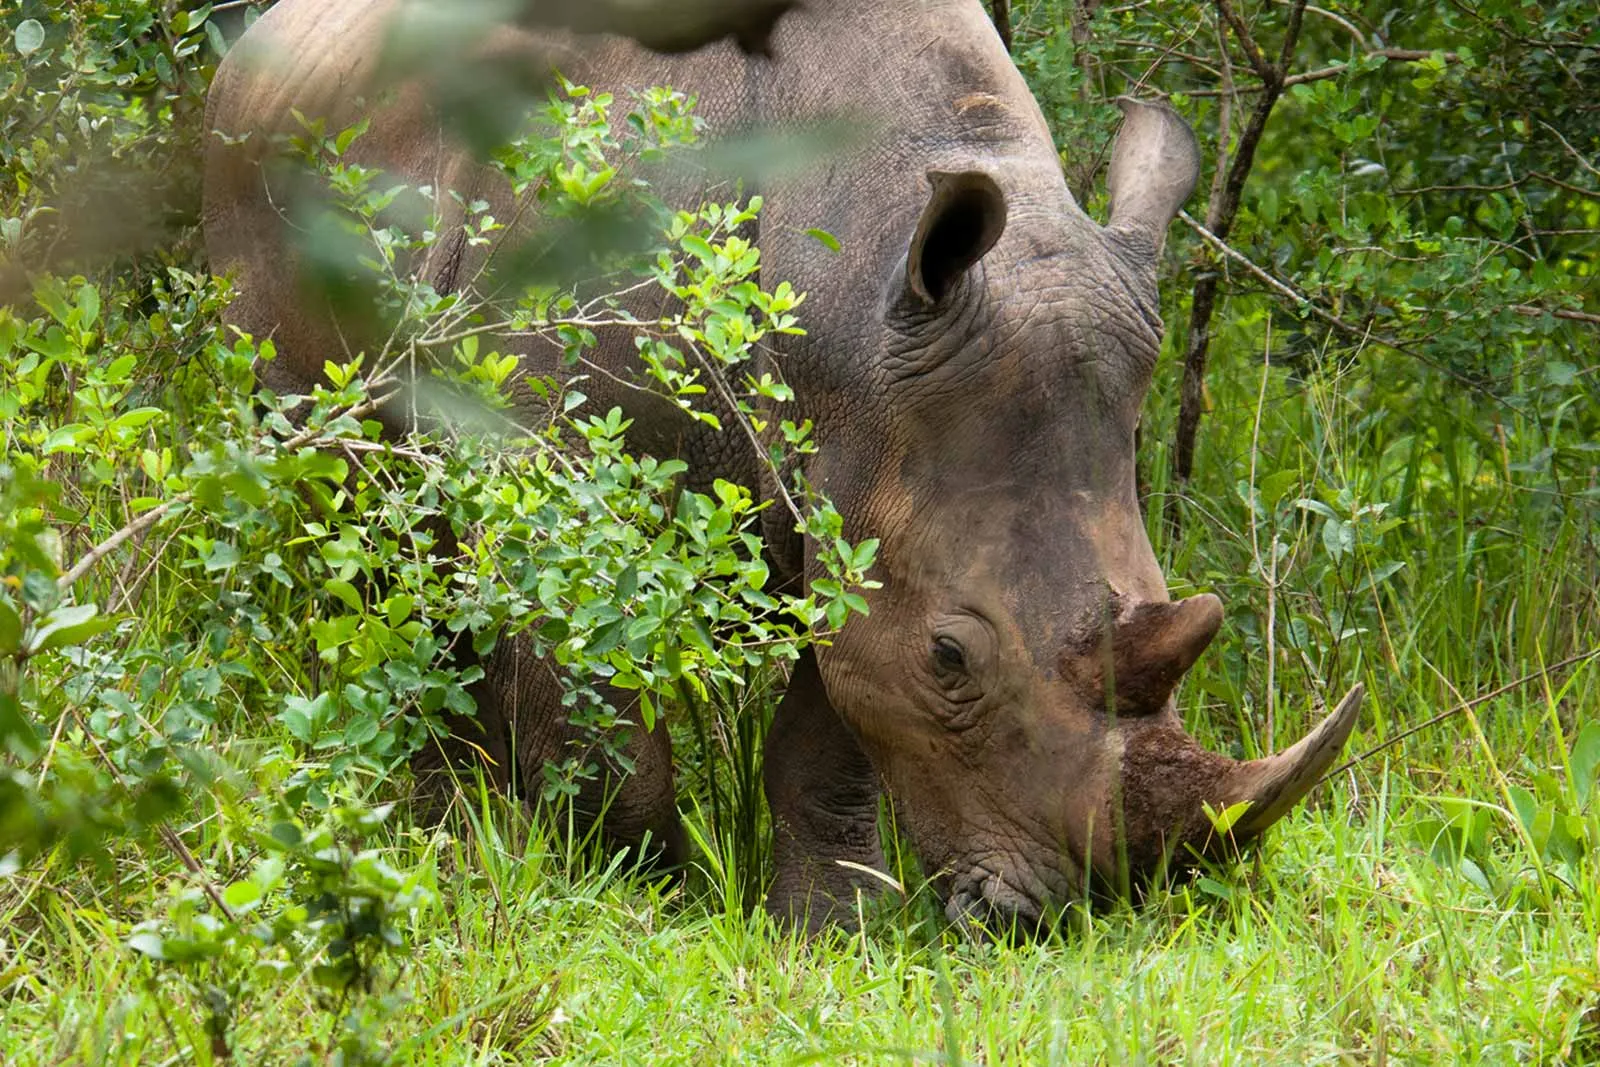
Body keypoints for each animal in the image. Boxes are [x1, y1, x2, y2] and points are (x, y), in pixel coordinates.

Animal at [204, 0, 1363, 931]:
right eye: (952, 657)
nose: (1055, 917)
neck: (851, 283)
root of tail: (254, 47)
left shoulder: (864, 481)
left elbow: (827, 726)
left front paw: (827, 929)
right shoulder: (549, 456)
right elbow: (600, 707)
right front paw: (639, 902)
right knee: (370, 539)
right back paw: (445, 832)